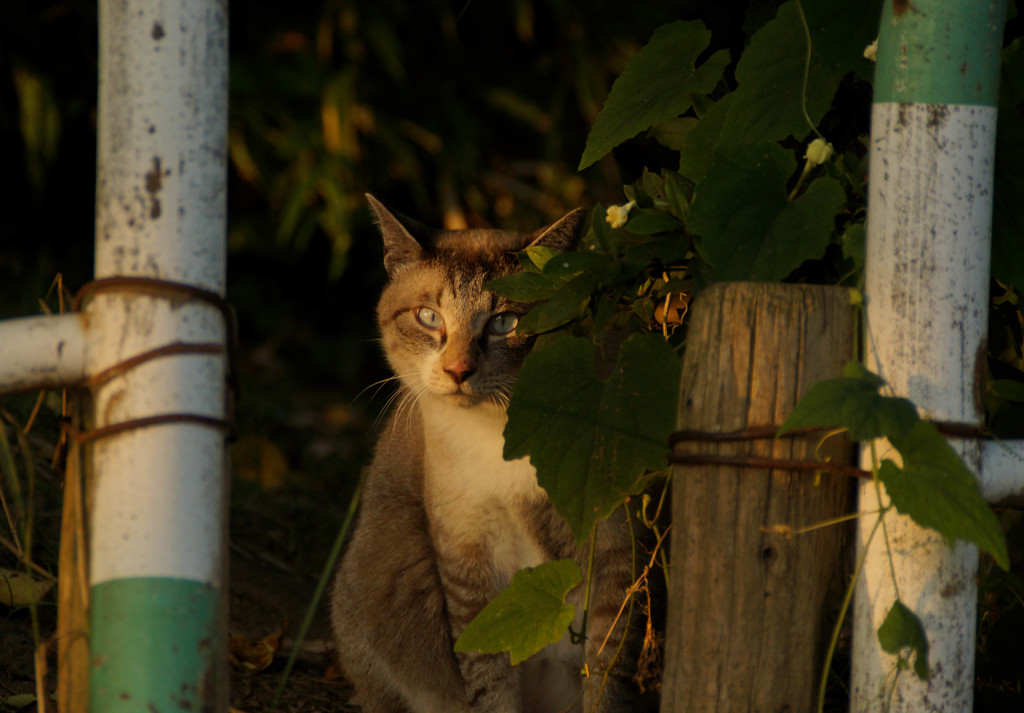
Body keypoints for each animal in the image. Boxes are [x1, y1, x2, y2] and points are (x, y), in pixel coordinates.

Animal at [329, 194, 638, 713]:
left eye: (504, 324)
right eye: (429, 317)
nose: (458, 371)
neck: (501, 436)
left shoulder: (613, 548)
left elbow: (606, 679)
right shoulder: (468, 558)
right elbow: (490, 680)